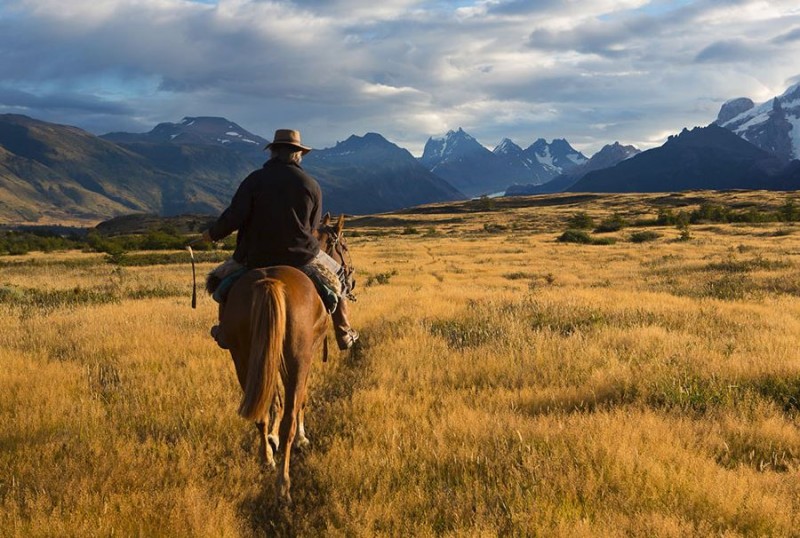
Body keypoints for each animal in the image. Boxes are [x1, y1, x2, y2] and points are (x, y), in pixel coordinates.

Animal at [219, 213, 356, 502]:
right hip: (296, 358)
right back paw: (283, 485)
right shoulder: (307, 356)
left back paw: (267, 458)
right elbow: (299, 400)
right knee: (289, 420)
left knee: (259, 412)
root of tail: (270, 283)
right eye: (344, 246)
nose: (351, 279)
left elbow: (275, 401)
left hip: (243, 356)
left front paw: (271, 441)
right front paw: (302, 438)